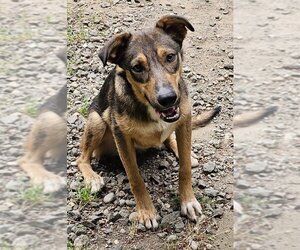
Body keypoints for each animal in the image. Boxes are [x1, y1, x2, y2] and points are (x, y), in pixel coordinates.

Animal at [75, 16, 223, 230]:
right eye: (137, 68)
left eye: (170, 57)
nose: (168, 99)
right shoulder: (122, 137)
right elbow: (135, 178)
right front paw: (146, 212)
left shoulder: (184, 119)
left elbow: (184, 168)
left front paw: (188, 201)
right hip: (97, 121)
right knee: (82, 159)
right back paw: (93, 178)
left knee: (170, 139)